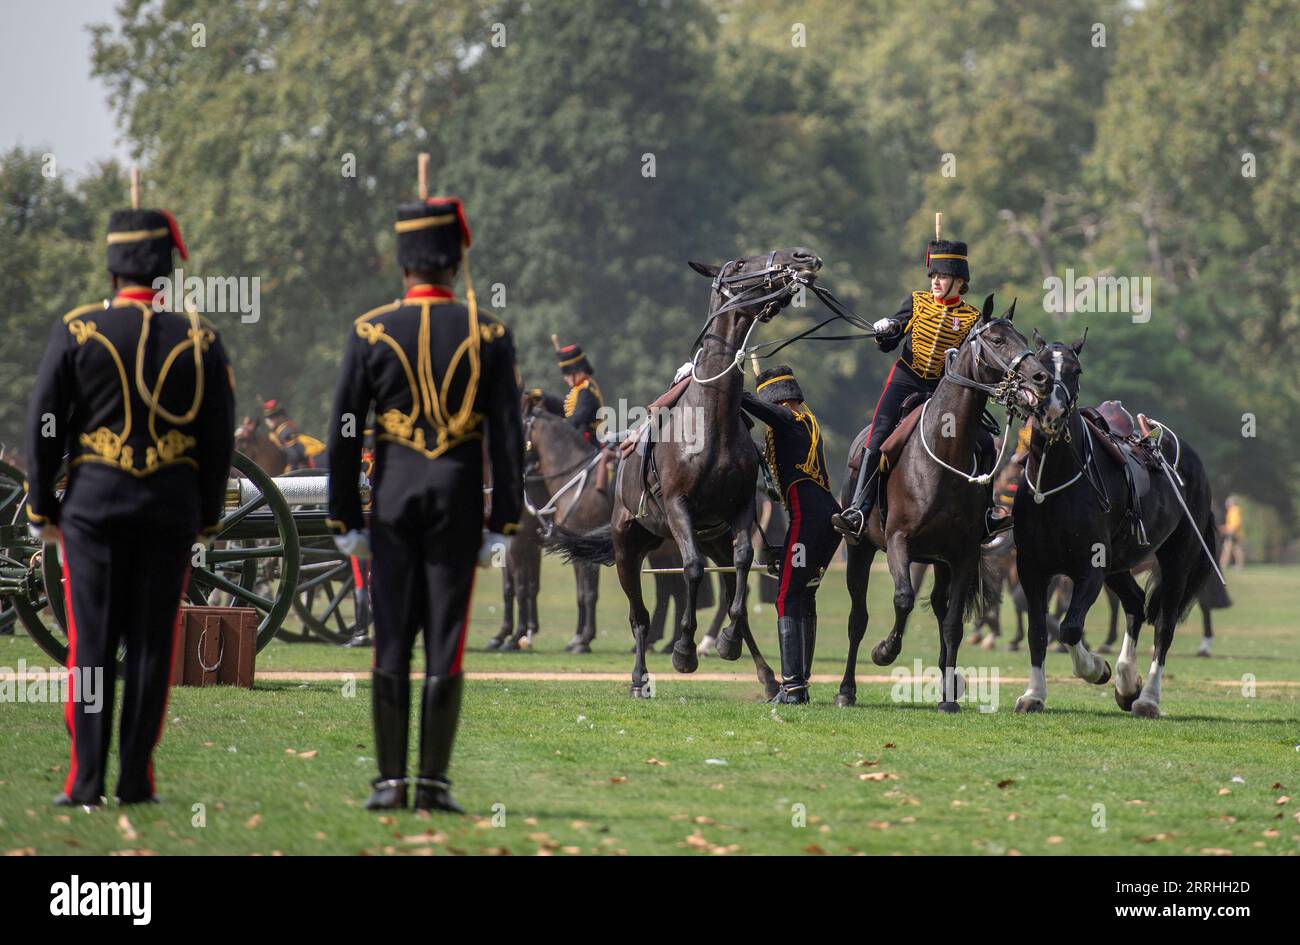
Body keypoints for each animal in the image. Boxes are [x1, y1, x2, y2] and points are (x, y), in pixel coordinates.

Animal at [548, 248, 821, 696]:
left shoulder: (740, 510)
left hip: (712, 539)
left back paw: (764, 673)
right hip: (628, 547)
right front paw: (683, 650)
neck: (710, 422)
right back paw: (640, 677)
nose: (800, 257)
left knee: (729, 589)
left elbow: (742, 567)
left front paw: (727, 644)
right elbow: (691, 570)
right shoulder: (678, 507)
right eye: (740, 265)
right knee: (638, 614)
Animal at [1013, 332, 1216, 717]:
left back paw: (1147, 697)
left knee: (1164, 626)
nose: (1052, 410)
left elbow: (1070, 628)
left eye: (1076, 370)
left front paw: (1095, 669)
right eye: (1037, 367)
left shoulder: (1090, 569)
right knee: (1135, 604)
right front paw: (1034, 694)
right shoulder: (1032, 569)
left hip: (1177, 560)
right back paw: (1126, 682)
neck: (1057, 482)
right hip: (1119, 565)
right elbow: (1038, 631)